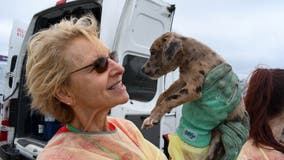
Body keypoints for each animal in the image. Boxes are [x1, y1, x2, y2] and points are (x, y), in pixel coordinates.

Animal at [141, 31, 246, 159]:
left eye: (153, 52)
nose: (142, 69)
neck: (190, 57)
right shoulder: (182, 80)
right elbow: (165, 93)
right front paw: (155, 110)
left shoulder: (193, 88)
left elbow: (170, 98)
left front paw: (153, 117)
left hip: (218, 140)